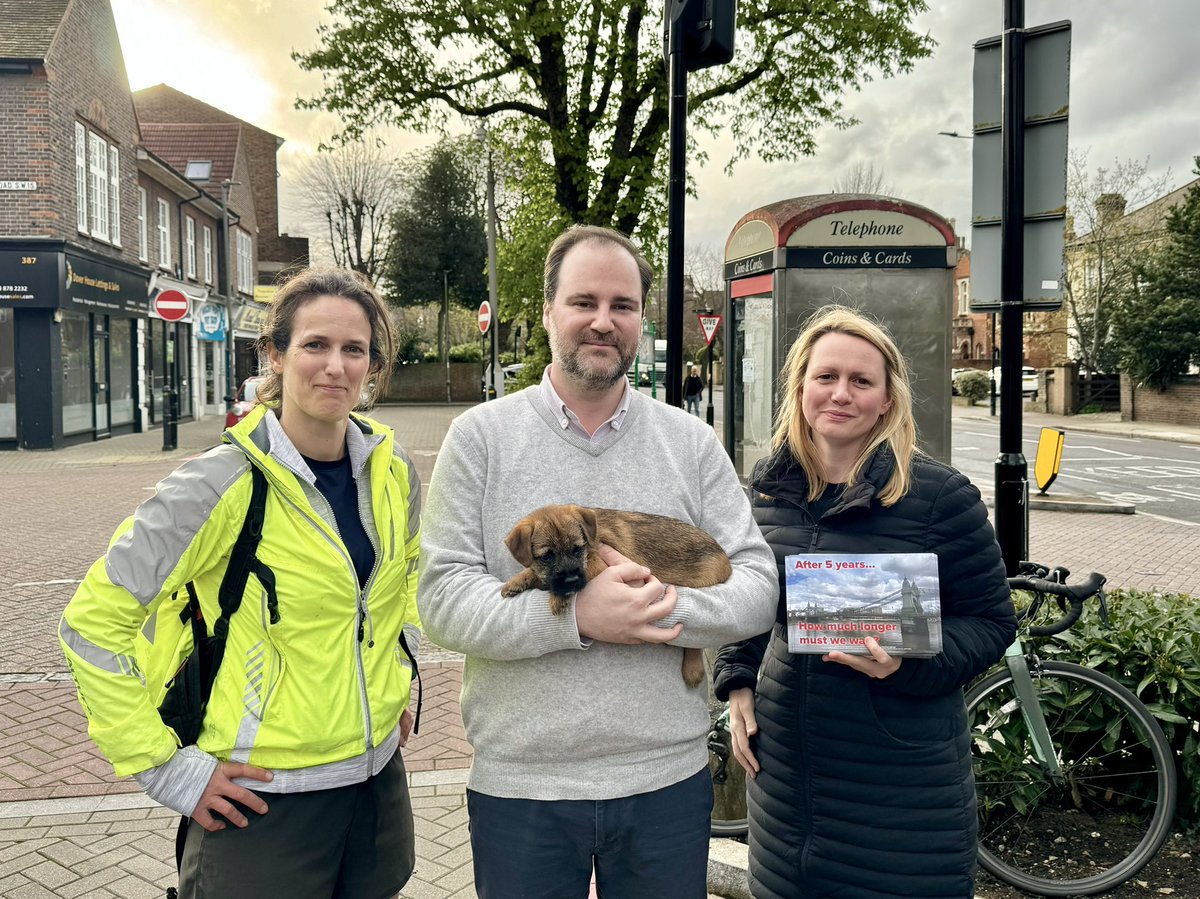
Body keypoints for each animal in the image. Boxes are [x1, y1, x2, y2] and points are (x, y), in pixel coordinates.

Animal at [499, 504, 729, 686]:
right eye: (547, 556)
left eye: (577, 549)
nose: (571, 580)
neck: (591, 542)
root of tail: (724, 557)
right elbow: (536, 572)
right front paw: (518, 580)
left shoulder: (598, 566)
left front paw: (558, 597)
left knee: (695, 642)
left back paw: (693, 669)